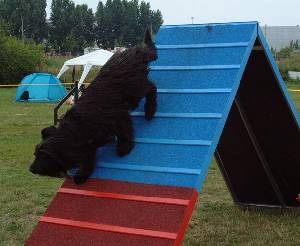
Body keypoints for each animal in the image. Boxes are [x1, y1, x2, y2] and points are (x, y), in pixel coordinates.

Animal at [29, 30, 158, 184]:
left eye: (42, 156)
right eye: (35, 153)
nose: (31, 169)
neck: (75, 128)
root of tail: (135, 51)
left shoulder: (118, 117)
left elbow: (125, 132)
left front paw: (124, 149)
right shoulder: (88, 143)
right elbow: (88, 158)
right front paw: (82, 175)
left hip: (136, 88)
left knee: (152, 88)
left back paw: (150, 111)